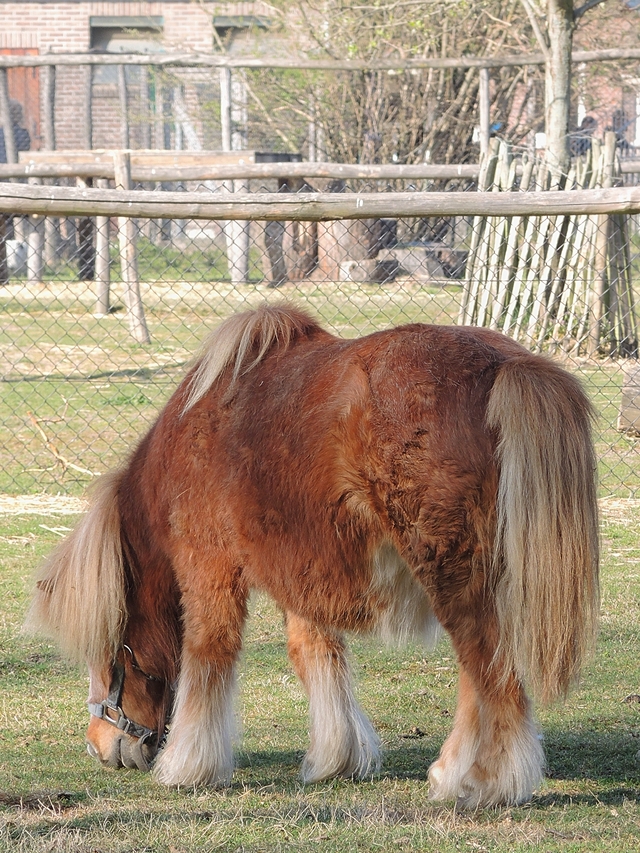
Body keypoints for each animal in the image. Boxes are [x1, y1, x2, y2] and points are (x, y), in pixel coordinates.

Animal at [27, 304, 600, 804]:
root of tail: (506, 364)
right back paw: (454, 773)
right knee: (477, 674)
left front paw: (188, 767)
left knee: (490, 670)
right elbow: (316, 656)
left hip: (451, 570)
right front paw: (337, 757)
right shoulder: (300, 576)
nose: (101, 747)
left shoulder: (210, 570)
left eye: (108, 653)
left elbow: (208, 657)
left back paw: (487, 783)